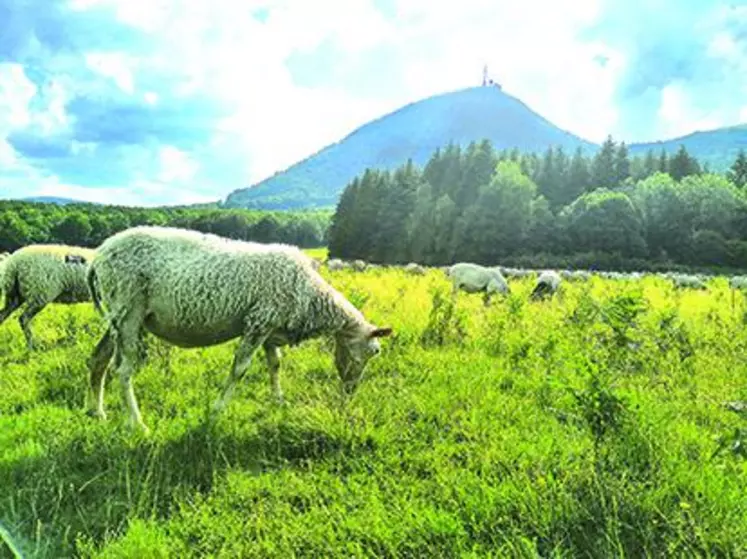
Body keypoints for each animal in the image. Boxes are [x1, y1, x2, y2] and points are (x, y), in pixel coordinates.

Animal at [84, 226, 394, 434]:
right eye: (374, 351)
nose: (351, 391)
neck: (311, 297)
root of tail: (99, 256)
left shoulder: (271, 327)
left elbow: (275, 364)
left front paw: (278, 400)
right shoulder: (259, 321)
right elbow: (239, 369)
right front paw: (216, 412)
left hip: (117, 316)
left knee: (98, 359)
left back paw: (98, 412)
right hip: (128, 309)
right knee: (123, 370)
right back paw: (138, 424)